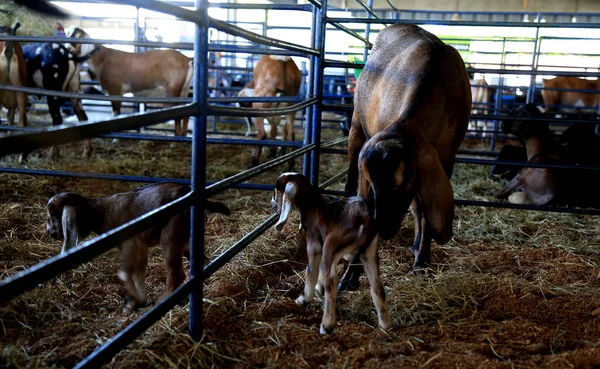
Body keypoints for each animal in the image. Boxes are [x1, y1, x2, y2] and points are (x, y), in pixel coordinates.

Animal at [340, 24, 472, 288]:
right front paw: (352, 273)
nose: (385, 227)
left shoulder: (444, 160)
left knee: (419, 207)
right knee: (350, 183)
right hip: (356, 124)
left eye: (407, 178)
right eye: (371, 181)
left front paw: (422, 261)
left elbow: (424, 211)